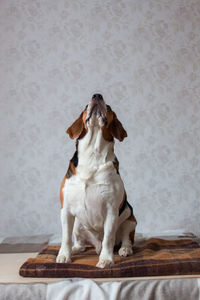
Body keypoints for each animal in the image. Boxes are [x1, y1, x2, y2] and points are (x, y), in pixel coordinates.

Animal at [57, 94, 137, 268]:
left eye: (109, 107)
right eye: (86, 106)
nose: (97, 95)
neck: (92, 153)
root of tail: (95, 246)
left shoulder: (111, 210)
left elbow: (108, 238)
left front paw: (106, 259)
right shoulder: (66, 210)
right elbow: (65, 238)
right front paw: (64, 255)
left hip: (130, 219)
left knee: (125, 239)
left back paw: (125, 249)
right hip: (77, 225)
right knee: (79, 242)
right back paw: (75, 248)